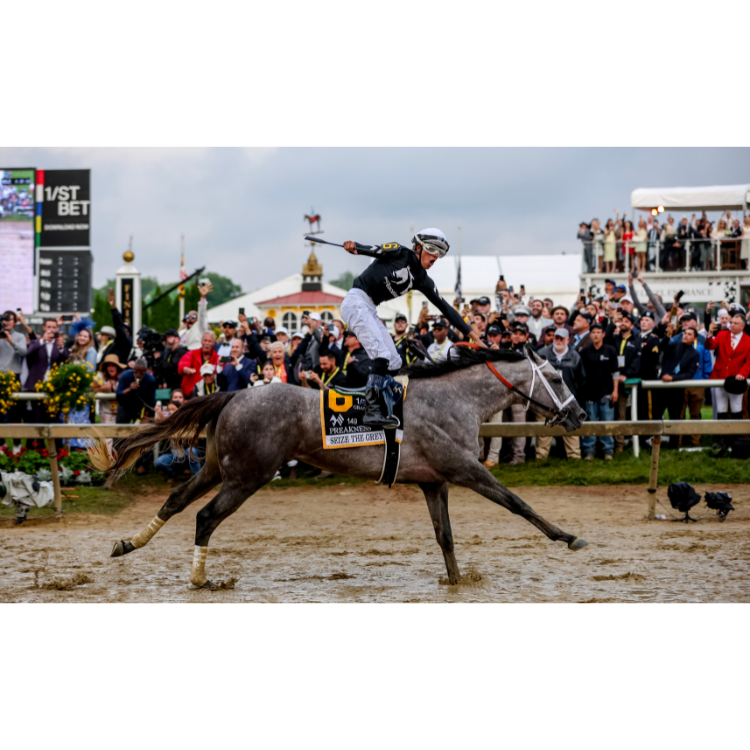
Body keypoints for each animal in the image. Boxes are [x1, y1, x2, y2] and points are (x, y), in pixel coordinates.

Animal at [91, 344, 592, 592]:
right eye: (558, 377)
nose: (580, 414)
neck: (454, 399)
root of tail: (233, 394)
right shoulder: (465, 470)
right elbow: (517, 504)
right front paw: (569, 537)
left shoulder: (434, 482)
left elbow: (445, 537)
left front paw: (455, 581)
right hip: (248, 475)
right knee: (205, 516)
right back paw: (200, 579)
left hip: (218, 469)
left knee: (176, 500)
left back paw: (127, 544)